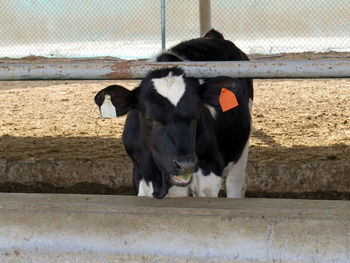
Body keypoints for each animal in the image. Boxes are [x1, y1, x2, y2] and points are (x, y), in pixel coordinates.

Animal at [94, 29, 253, 198]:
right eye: (150, 119)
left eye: (196, 116)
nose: (186, 164)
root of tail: (213, 36)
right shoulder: (141, 175)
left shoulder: (209, 172)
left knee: (235, 183)